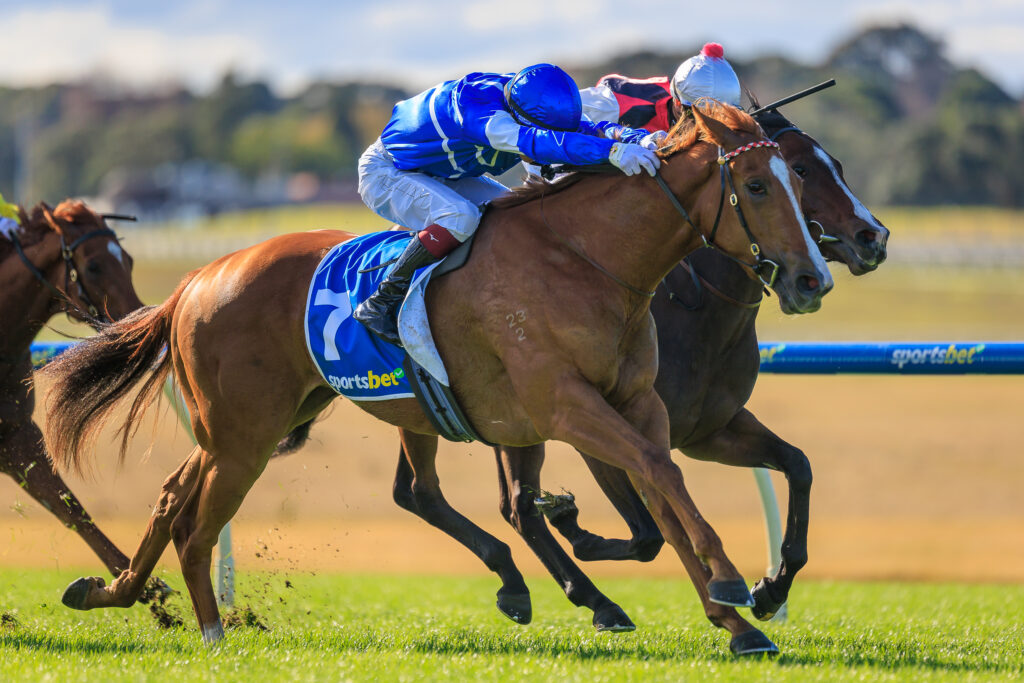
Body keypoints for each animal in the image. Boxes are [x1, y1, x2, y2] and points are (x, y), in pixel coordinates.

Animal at [42, 101, 832, 644]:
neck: (586, 258)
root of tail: (199, 278)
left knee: (178, 496)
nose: (811, 278)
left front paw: (737, 621)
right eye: (758, 185)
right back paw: (210, 627)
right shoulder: (567, 406)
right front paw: (731, 584)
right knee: (197, 520)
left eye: (798, 181)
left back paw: (112, 593)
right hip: (246, 434)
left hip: (282, 417)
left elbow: (663, 491)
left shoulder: (638, 402)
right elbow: (657, 476)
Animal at [389, 105, 889, 655]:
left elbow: (796, 465)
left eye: (822, 169)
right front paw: (583, 530)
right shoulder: (584, 418)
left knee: (437, 495)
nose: (873, 238)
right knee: (509, 505)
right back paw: (579, 592)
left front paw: (767, 593)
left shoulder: (705, 428)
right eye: (791, 173)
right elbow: (652, 520)